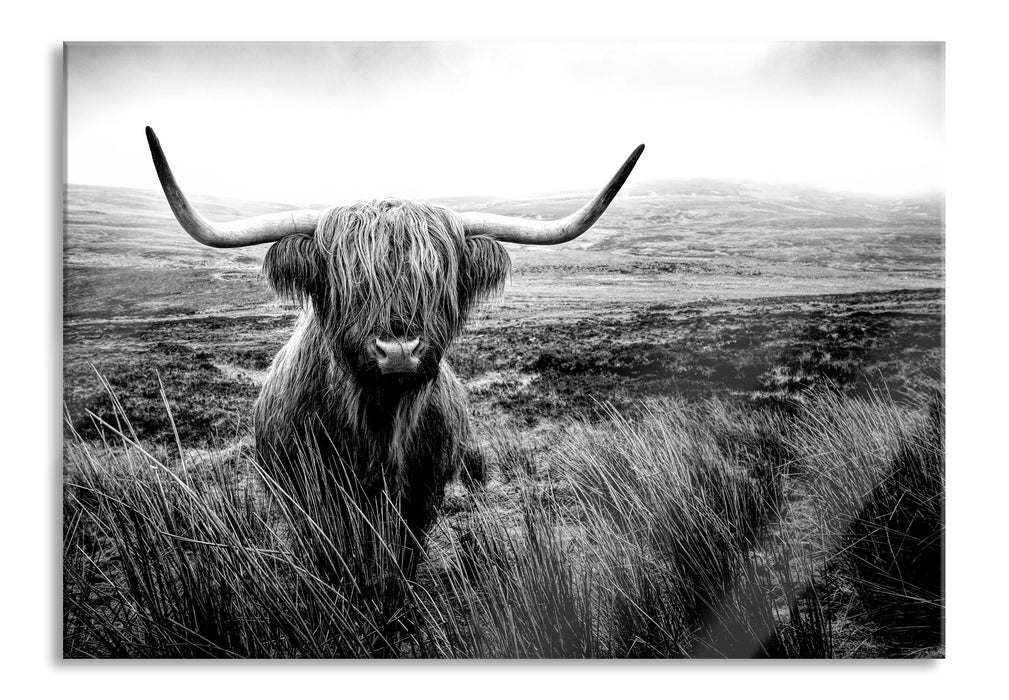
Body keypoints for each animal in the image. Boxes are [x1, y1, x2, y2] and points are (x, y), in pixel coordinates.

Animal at [146, 129, 641, 576]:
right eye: (349, 279)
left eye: (436, 278)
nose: (399, 349)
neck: (378, 424)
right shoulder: (310, 495)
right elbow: (333, 558)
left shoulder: (422, 494)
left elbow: (401, 560)